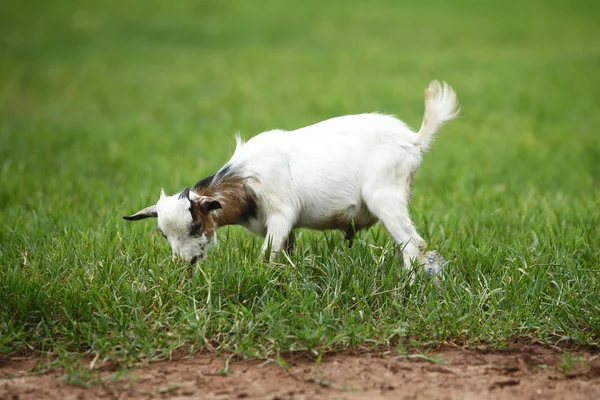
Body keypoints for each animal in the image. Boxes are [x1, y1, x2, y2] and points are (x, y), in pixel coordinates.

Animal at [123, 81, 460, 276]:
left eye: (195, 225)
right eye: (163, 234)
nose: (184, 265)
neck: (246, 179)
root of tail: (413, 140)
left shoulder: (281, 212)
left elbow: (267, 256)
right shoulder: (284, 227)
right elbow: (284, 252)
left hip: (385, 195)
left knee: (413, 243)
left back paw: (408, 285)